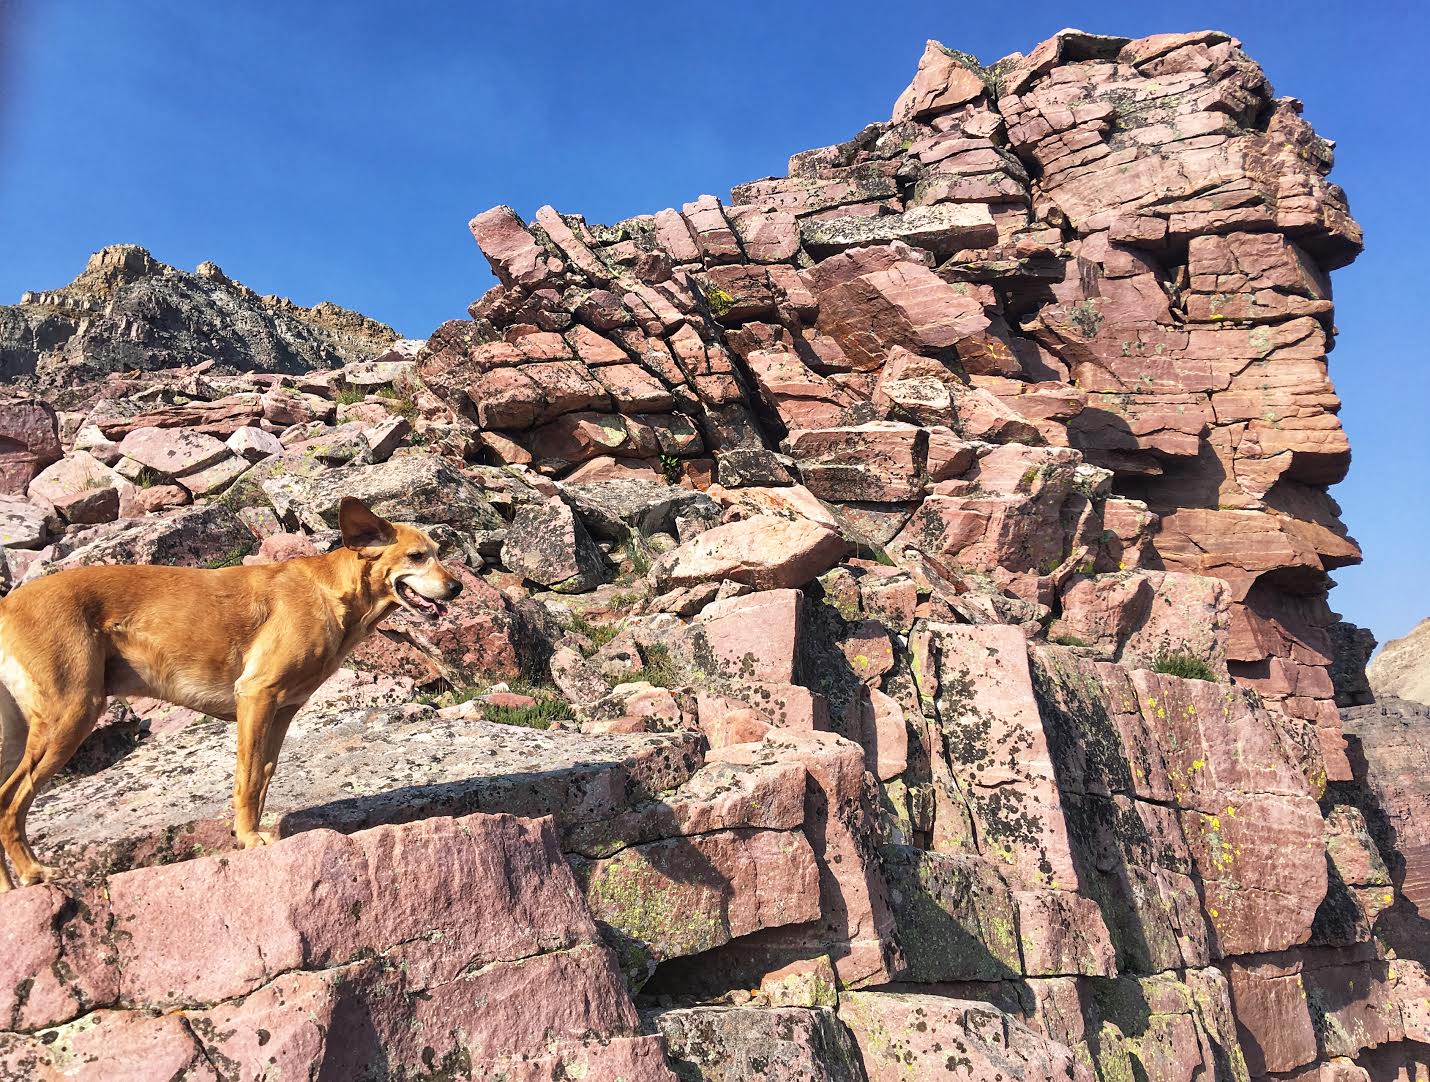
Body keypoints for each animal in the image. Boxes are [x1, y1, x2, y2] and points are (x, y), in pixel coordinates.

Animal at [0, 494, 460, 886]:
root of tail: (8, 604)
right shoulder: (256, 696)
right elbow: (247, 776)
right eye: (417, 556)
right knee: (9, 803)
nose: (456, 588)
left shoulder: (282, 711)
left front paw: (251, 833)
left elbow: (263, 777)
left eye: (438, 552)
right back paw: (33, 873)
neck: (331, 594)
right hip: (71, 713)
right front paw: (249, 839)